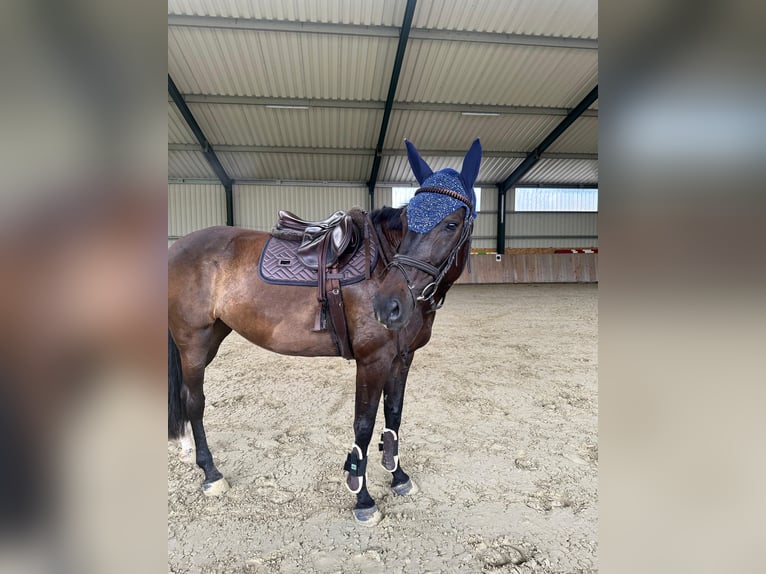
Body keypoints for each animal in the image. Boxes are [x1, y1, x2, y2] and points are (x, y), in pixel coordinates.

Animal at [168, 138, 482, 525]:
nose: (388, 306)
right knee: (194, 402)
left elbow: (394, 415)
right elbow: (363, 425)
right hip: (192, 342)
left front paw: (398, 477)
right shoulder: (373, 360)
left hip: (210, 337)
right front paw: (362, 498)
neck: (381, 266)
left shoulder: (402, 358)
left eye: (451, 223)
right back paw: (210, 473)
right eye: (410, 221)